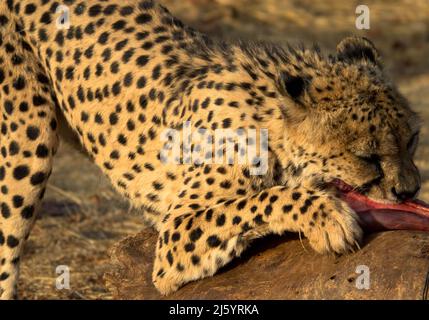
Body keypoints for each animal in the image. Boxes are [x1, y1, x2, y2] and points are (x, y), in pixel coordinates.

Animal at [0, 0, 422, 300]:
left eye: (412, 139)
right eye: (367, 157)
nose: (409, 192)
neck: (269, 124)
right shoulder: (174, 234)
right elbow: (261, 200)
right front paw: (327, 219)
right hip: (25, 145)